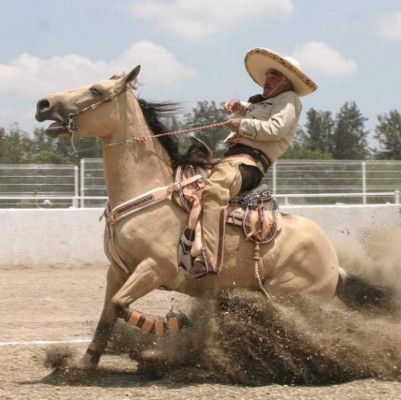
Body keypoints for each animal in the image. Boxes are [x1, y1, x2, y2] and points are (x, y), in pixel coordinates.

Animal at [35, 65, 394, 368]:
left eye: (95, 90)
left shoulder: (155, 267)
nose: (43, 103)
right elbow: (107, 313)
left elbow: (121, 305)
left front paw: (171, 328)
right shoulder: (117, 271)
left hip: (289, 297)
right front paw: (84, 365)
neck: (148, 189)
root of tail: (335, 265)